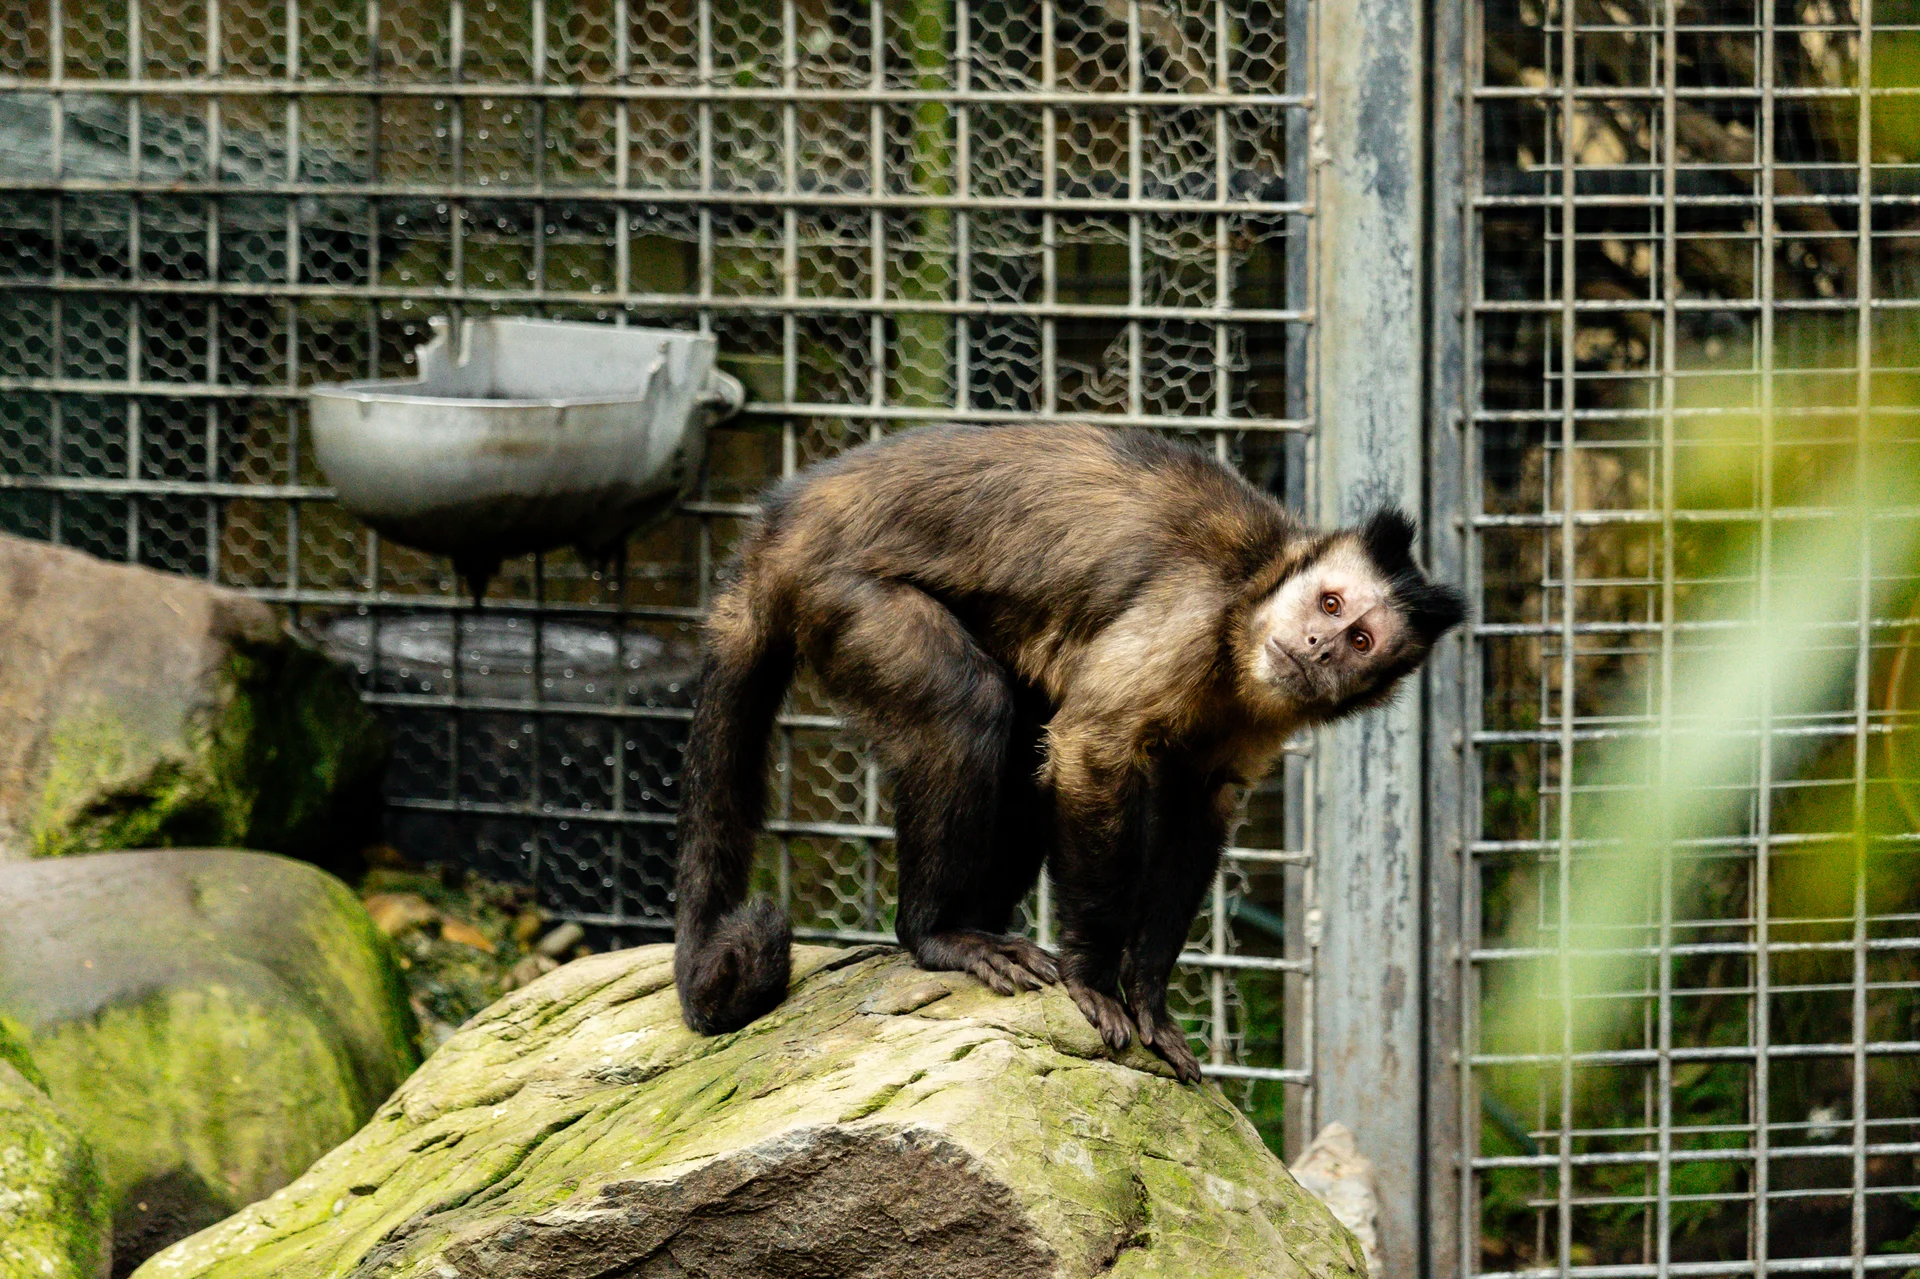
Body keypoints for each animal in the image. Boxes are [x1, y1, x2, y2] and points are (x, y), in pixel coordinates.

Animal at [672, 422, 1465, 1082]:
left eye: (1361, 640)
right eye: (1330, 603)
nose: (1318, 645)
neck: (1251, 597)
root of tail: (784, 520)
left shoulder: (1257, 710)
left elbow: (1197, 809)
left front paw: (1148, 995)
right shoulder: (1190, 615)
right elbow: (1093, 750)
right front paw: (1092, 977)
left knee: (1021, 760)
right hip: (842, 594)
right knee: (968, 710)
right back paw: (936, 934)